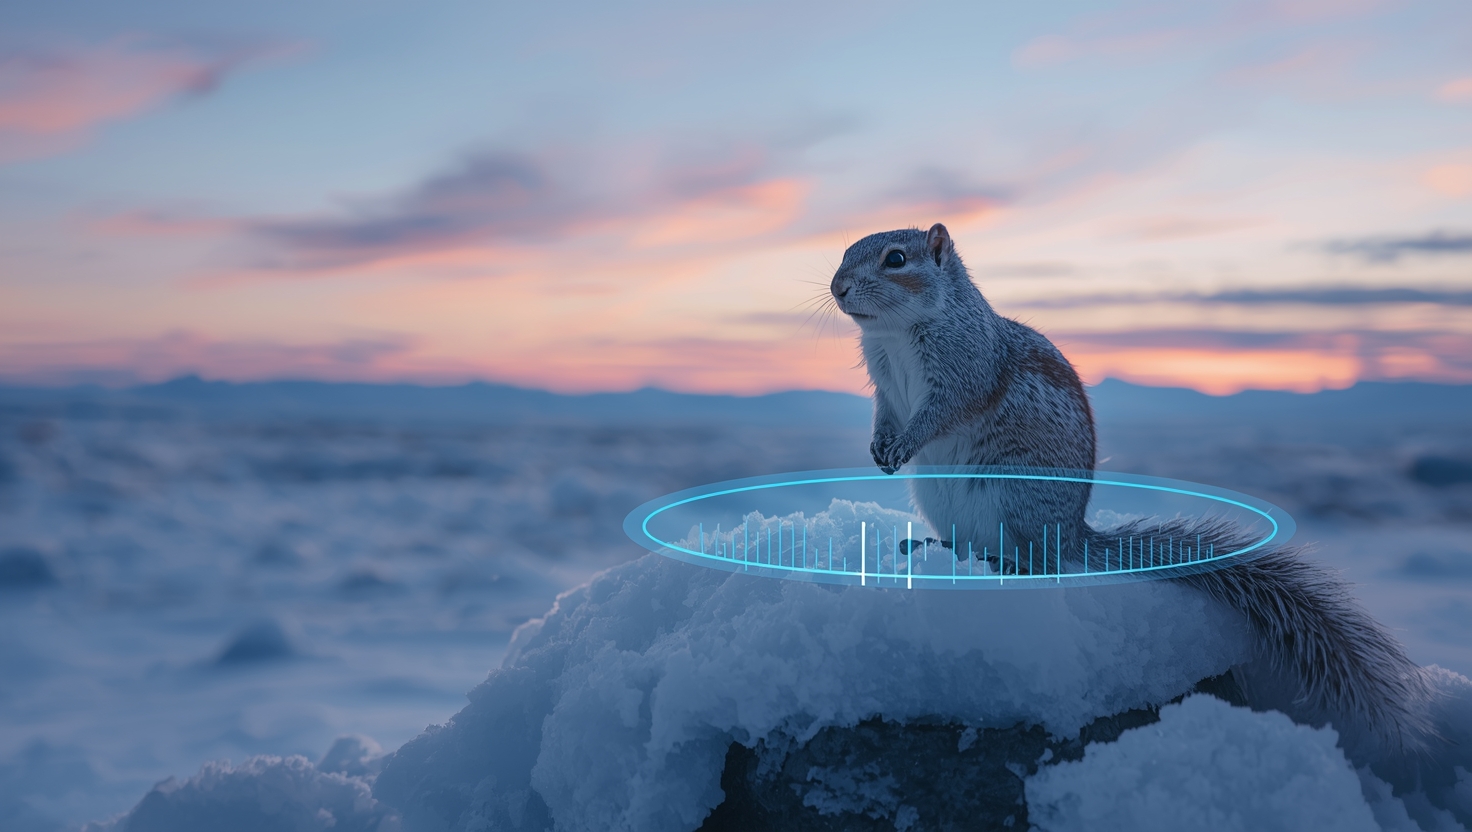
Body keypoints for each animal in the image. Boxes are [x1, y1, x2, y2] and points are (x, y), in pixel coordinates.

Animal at [829, 222, 1435, 751]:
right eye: (846, 250)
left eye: (896, 259)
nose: (836, 288)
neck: (895, 334)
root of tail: (1074, 533)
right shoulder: (886, 387)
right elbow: (886, 414)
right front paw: (881, 448)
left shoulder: (963, 370)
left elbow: (938, 414)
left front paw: (905, 444)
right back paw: (934, 547)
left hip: (1014, 499)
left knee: (1043, 564)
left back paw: (1006, 565)